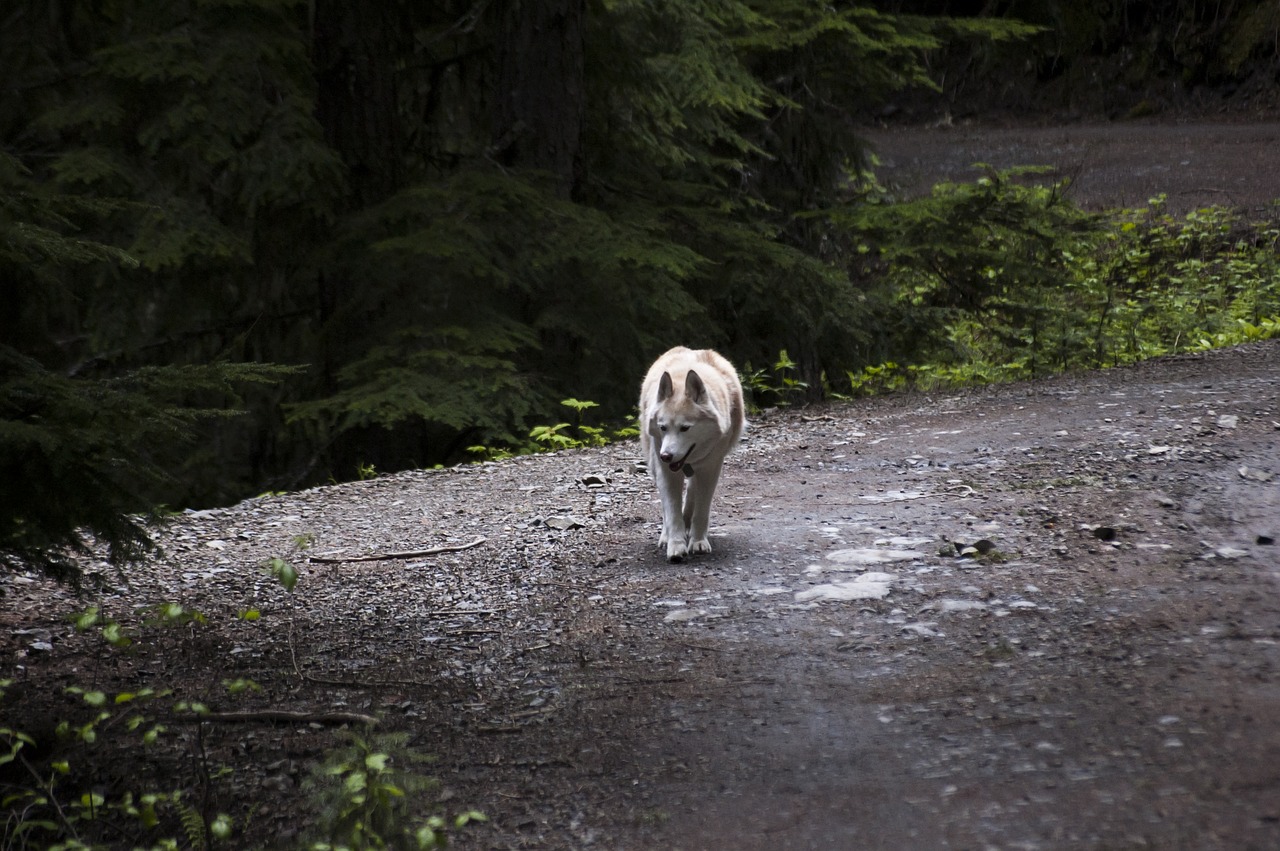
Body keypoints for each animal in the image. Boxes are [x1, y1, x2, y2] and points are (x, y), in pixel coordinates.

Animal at [640, 342, 747, 560]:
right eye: (663, 427)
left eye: (685, 428)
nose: (666, 456)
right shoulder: (666, 471)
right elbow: (672, 512)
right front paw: (676, 546)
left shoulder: (711, 467)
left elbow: (701, 510)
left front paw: (698, 542)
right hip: (655, 463)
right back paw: (666, 536)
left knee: (691, 490)